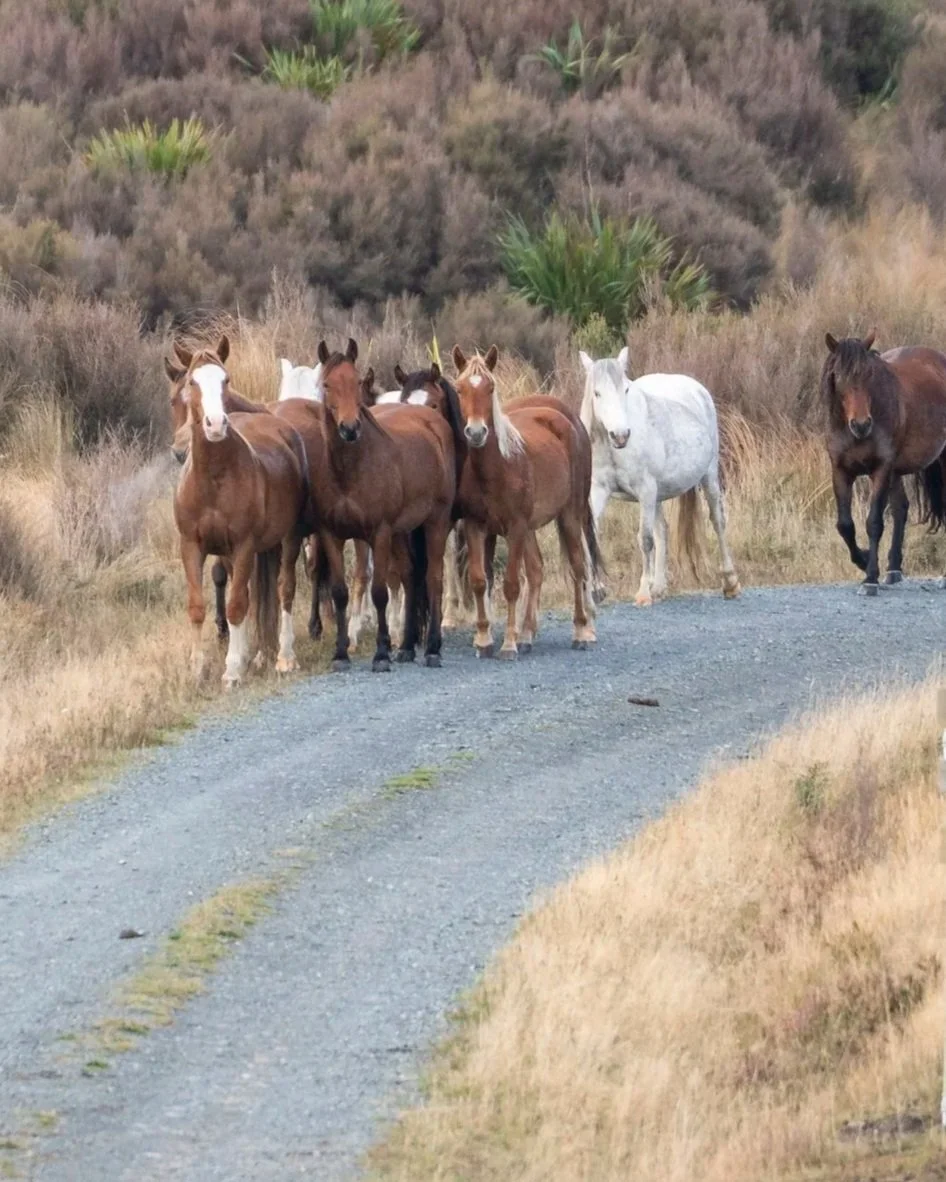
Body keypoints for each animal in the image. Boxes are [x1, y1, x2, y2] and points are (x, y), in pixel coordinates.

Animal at [171, 340, 309, 687]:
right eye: (192, 382)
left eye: (226, 379)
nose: (215, 424)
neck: (213, 479)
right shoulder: (192, 546)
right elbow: (198, 607)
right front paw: (198, 669)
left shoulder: (244, 546)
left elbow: (236, 606)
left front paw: (232, 670)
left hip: (289, 538)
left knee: (284, 588)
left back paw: (284, 657)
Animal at [313, 338, 460, 671]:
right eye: (326, 384)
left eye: (357, 382)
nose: (350, 428)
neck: (351, 469)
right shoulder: (331, 534)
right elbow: (340, 592)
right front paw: (341, 653)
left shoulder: (378, 533)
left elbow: (379, 592)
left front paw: (381, 653)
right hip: (402, 532)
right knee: (410, 576)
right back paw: (406, 647)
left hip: (435, 522)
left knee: (434, 578)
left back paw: (432, 648)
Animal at [452, 344, 600, 659]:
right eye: (459, 389)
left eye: (491, 387)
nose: (476, 432)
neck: (497, 467)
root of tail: (570, 423)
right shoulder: (475, 526)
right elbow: (479, 581)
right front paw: (483, 640)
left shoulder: (516, 527)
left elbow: (510, 585)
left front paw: (508, 643)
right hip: (532, 528)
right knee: (536, 569)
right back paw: (528, 634)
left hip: (569, 516)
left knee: (578, 566)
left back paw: (581, 631)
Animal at [579, 347, 739, 606]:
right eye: (597, 393)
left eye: (625, 389)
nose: (621, 435)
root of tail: (697, 388)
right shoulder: (598, 491)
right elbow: (590, 536)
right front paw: (595, 591)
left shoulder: (645, 490)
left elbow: (645, 539)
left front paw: (643, 592)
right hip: (658, 495)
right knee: (662, 529)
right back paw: (660, 587)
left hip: (708, 477)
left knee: (717, 521)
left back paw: (730, 581)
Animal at [822, 330, 946, 592]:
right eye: (838, 376)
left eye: (869, 374)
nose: (861, 424)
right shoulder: (840, 471)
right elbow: (845, 525)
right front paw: (864, 560)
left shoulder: (880, 469)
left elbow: (874, 523)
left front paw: (870, 578)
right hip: (896, 472)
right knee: (901, 509)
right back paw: (894, 569)